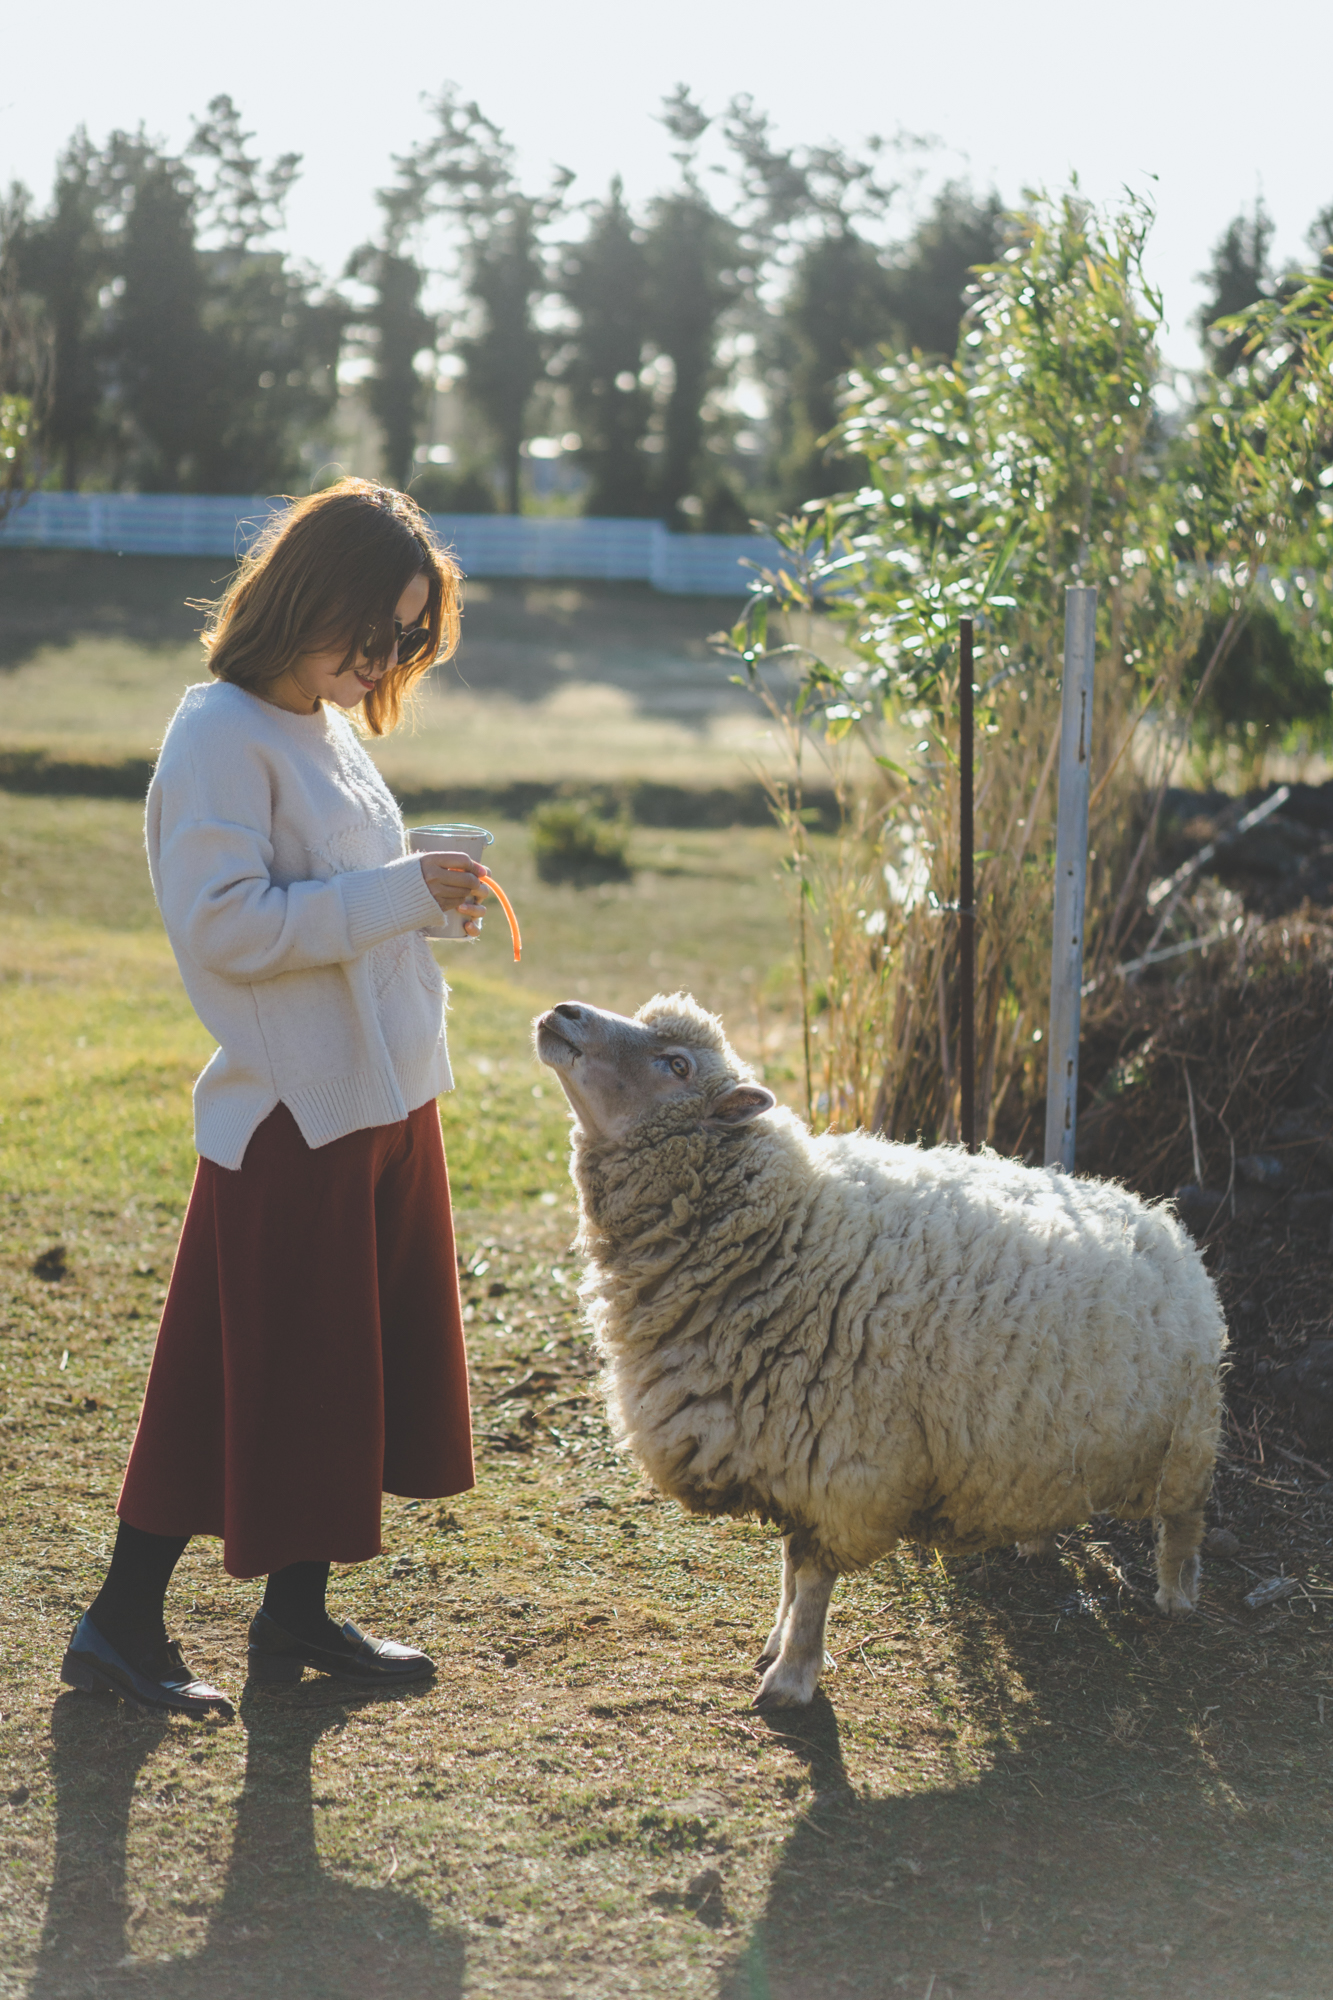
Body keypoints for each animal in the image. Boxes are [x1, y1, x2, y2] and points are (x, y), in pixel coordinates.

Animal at [532, 988, 1224, 1704]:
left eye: (676, 1065)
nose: (565, 1011)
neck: (783, 1231)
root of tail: (1163, 1224)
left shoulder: (847, 1461)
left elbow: (811, 1577)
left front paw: (792, 1677)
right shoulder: (790, 1449)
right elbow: (789, 1568)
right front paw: (777, 1643)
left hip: (1187, 1443)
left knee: (1184, 1523)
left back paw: (1176, 1596)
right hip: (1052, 1442)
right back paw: (1036, 1542)